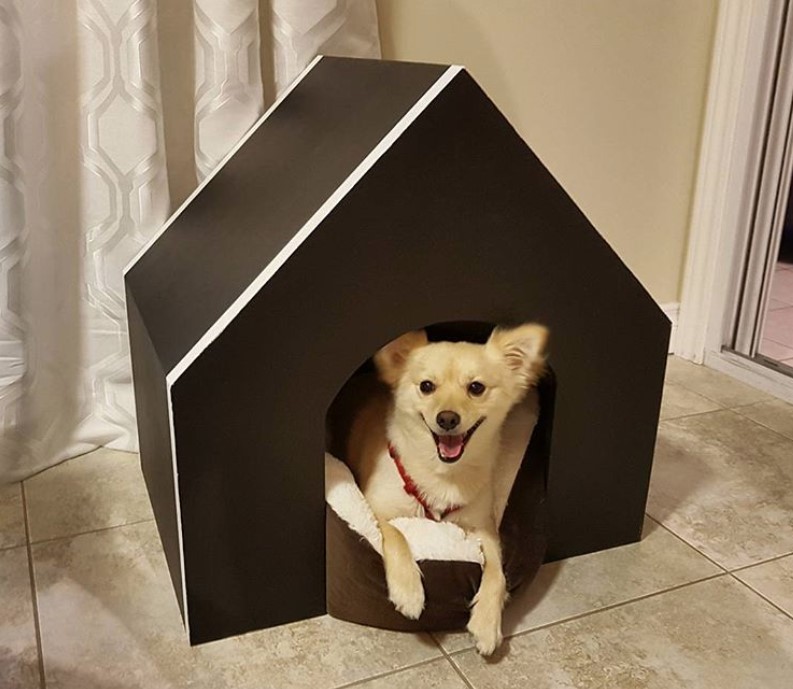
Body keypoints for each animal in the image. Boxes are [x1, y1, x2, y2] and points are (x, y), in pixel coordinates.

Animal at [346, 324, 552, 656]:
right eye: (427, 386)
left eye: (476, 388)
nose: (447, 418)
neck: (444, 475)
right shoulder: (375, 509)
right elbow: (397, 536)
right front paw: (409, 592)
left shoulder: (483, 530)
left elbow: (498, 574)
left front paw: (487, 623)